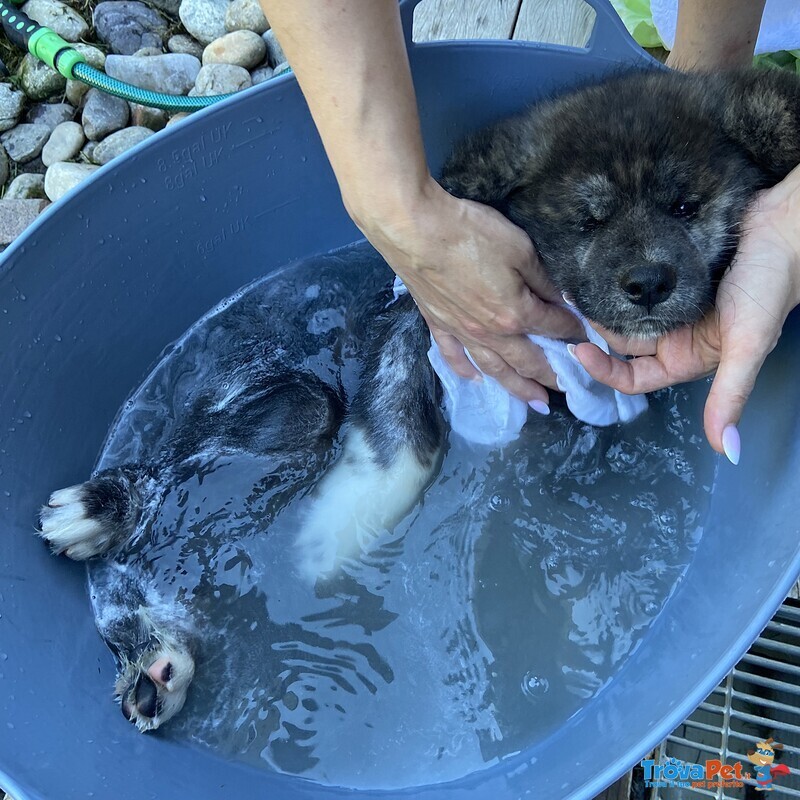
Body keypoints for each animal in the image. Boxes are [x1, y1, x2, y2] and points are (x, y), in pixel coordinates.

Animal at [36, 67, 800, 732]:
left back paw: (155, 663)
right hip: (273, 397)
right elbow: (402, 439)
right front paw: (333, 536)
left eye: (685, 206)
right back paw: (105, 511)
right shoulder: (422, 333)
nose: (648, 284)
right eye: (587, 222)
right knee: (211, 447)